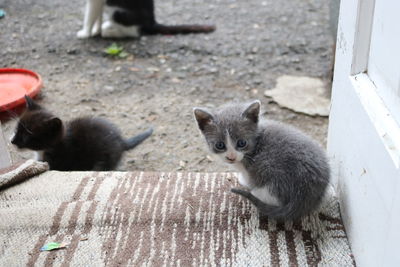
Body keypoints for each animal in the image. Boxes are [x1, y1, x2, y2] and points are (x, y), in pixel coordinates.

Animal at [77, 0, 217, 38]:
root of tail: (152, 21)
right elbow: (97, 15)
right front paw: (95, 30)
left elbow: (90, 15)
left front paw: (85, 33)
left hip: (118, 11)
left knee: (134, 32)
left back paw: (110, 33)